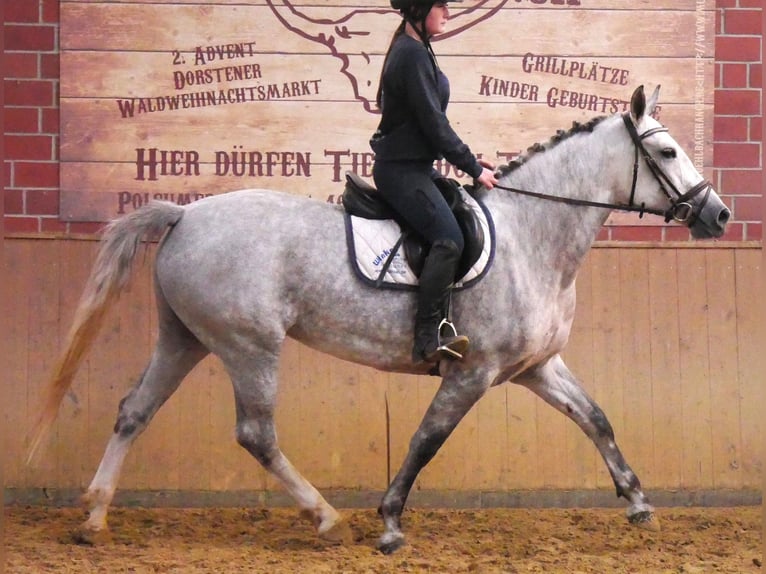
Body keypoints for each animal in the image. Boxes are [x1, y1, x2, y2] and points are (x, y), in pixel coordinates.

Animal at [27, 85, 730, 554]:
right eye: (669, 151)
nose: (717, 214)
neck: (535, 234)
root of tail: (185, 214)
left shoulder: (535, 367)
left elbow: (596, 418)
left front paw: (637, 501)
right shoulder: (472, 373)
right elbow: (426, 440)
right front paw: (390, 522)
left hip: (185, 339)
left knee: (134, 411)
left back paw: (94, 518)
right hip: (249, 346)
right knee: (256, 434)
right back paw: (324, 517)